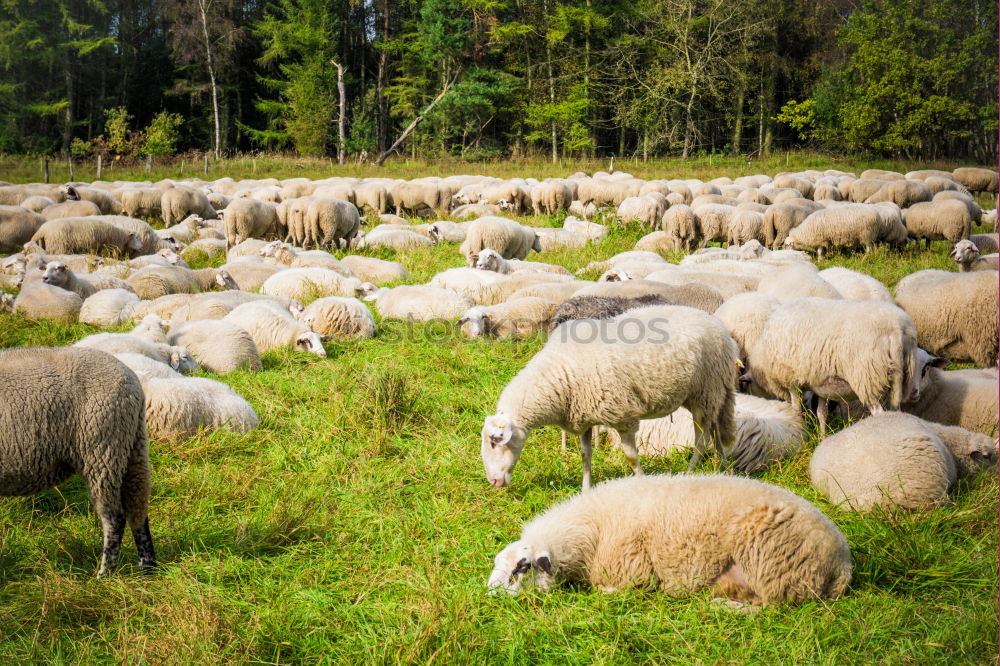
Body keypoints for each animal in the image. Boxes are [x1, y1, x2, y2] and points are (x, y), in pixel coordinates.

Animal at [0, 344, 155, 572]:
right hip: (133, 445)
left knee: (115, 518)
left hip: (102, 450)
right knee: (138, 508)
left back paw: (105, 573)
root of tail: (132, 382)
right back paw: (147, 567)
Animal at [480, 304, 740, 486]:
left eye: (494, 442)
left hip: (705, 391)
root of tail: (718, 325)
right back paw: (723, 467)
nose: (493, 482)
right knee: (716, 430)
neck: (560, 377)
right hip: (708, 395)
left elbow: (631, 457)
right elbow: (585, 455)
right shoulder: (584, 416)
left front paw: (642, 482)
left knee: (702, 439)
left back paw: (690, 472)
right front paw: (585, 490)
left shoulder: (624, 417)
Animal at [488, 472, 848, 600]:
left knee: (774, 606)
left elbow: (619, 589)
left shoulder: (631, 570)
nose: (490, 594)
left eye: (522, 567)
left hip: (776, 564)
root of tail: (843, 562)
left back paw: (721, 607)